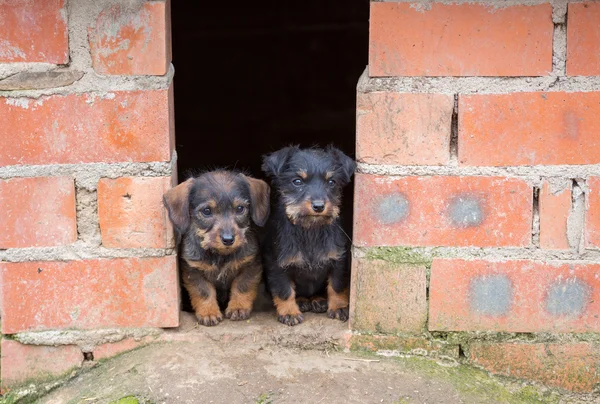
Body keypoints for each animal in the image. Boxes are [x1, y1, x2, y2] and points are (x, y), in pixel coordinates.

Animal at [162, 170, 270, 326]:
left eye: (240, 209)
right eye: (207, 211)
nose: (228, 239)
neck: (220, 256)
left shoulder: (251, 265)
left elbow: (242, 285)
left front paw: (238, 307)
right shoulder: (193, 270)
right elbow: (204, 291)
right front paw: (209, 313)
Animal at [262, 145, 356, 326]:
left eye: (331, 182)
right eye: (297, 181)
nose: (319, 206)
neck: (310, 228)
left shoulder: (339, 260)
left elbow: (337, 285)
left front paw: (339, 307)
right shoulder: (277, 264)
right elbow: (284, 290)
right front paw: (289, 312)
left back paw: (318, 300)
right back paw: (302, 301)